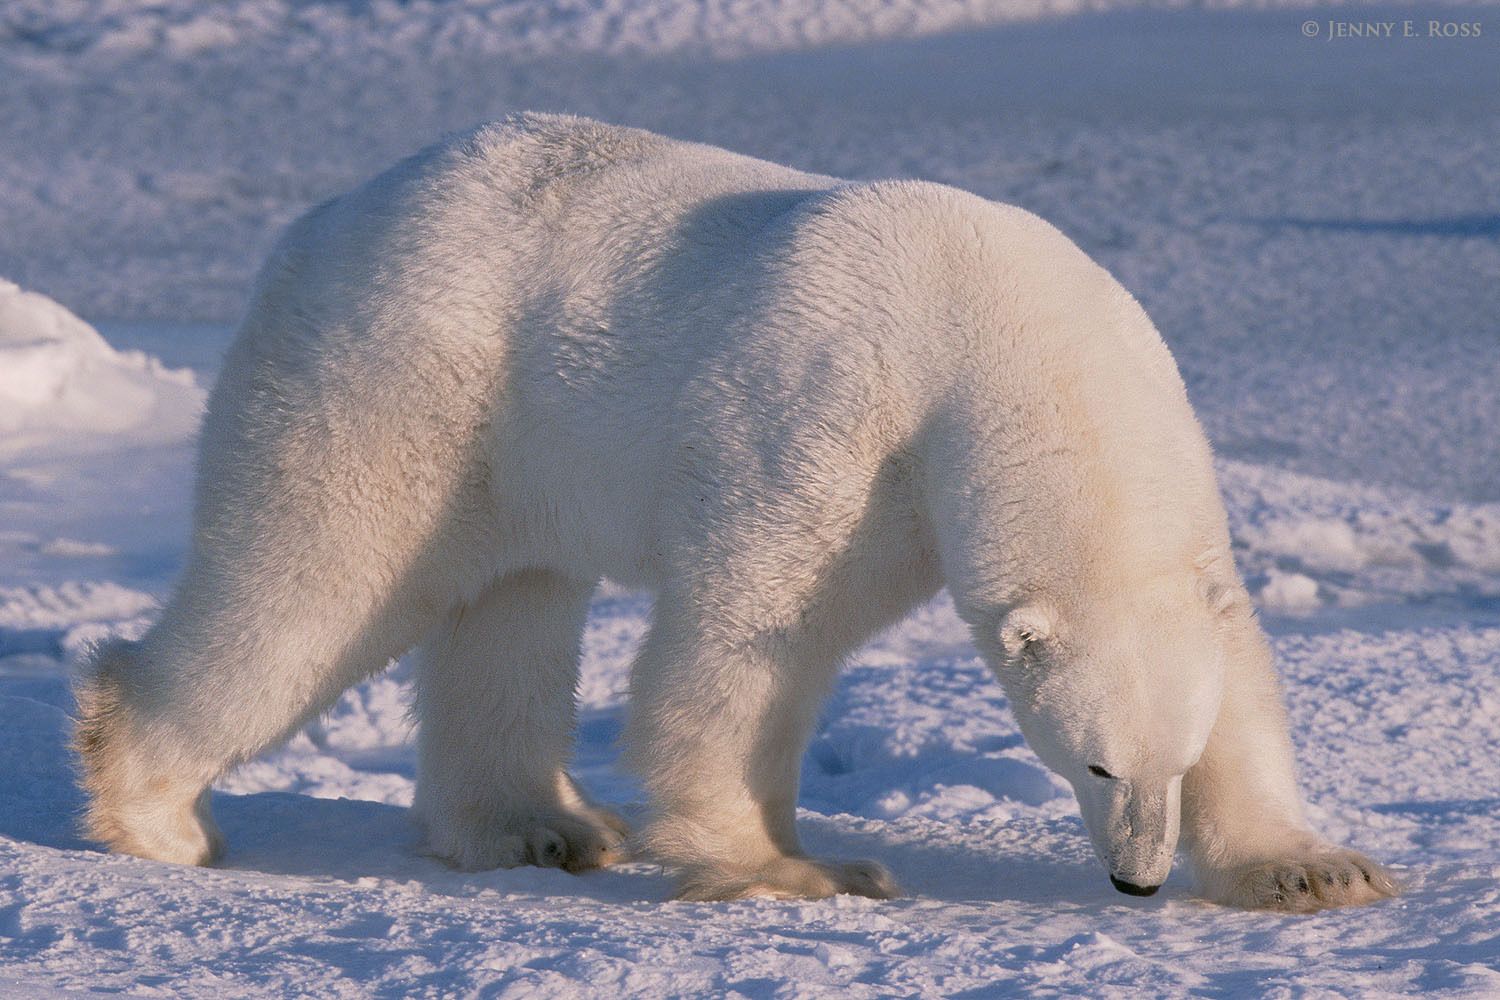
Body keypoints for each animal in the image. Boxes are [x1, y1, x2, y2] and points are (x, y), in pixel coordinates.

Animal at [75, 113, 1397, 910]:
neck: (1008, 334)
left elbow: (1240, 667)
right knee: (314, 582)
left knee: (510, 610)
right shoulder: (841, 420)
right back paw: (153, 812)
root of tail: (326, 216)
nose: (1135, 880)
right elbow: (753, 631)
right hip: (398, 388)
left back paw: (537, 827)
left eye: (1170, 761)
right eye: (1092, 759)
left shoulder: (1170, 496)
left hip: (510, 444)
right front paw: (793, 868)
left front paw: (1314, 869)